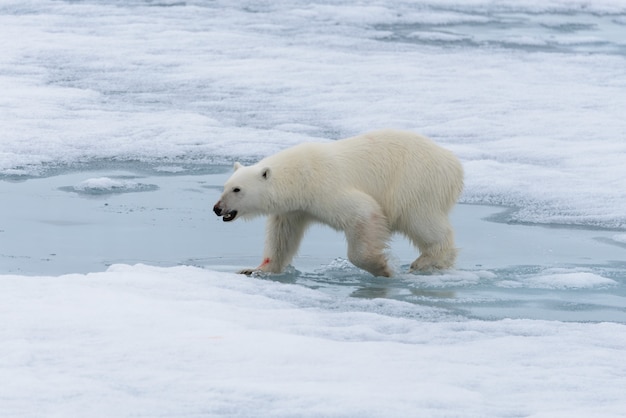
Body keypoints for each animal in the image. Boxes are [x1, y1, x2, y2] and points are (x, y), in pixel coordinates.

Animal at [214, 129, 464, 276]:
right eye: (225, 186)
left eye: (237, 189)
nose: (217, 208)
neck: (301, 175)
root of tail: (454, 164)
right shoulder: (295, 208)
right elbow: (282, 237)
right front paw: (255, 269)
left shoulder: (326, 188)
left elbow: (364, 212)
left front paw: (382, 267)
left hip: (414, 183)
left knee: (422, 222)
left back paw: (428, 261)